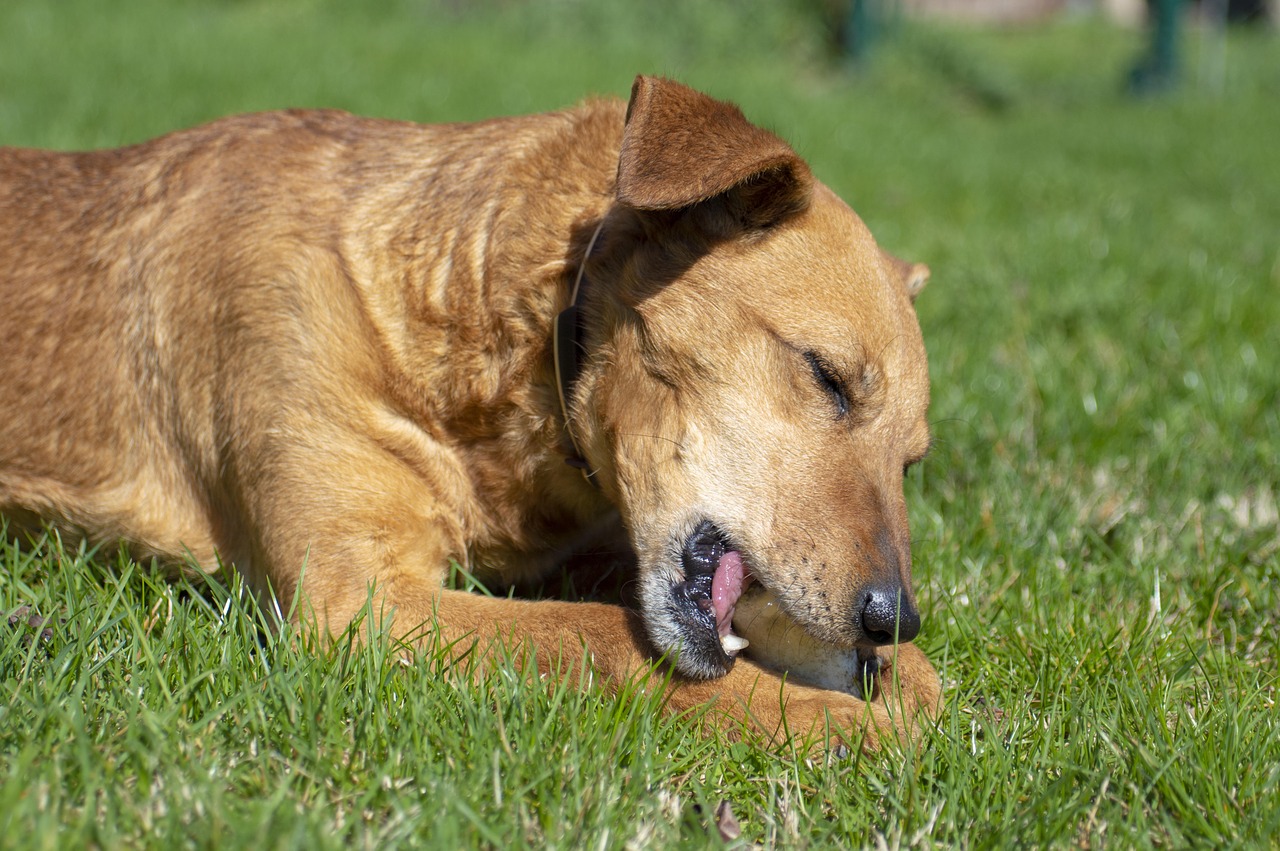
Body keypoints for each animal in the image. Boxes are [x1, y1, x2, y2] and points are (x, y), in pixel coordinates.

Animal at [0, 76, 942, 747]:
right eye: (826, 376)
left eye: (912, 461)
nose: (892, 617)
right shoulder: (365, 603)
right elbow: (602, 636)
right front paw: (848, 723)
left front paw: (910, 681)